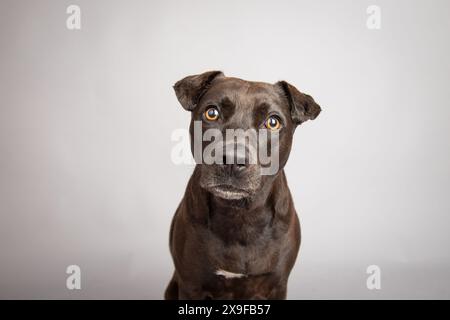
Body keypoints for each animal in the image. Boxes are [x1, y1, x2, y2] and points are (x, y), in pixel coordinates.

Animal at [164, 71, 320, 298]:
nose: (231, 159)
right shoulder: (190, 285)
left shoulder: (277, 286)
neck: (240, 214)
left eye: (273, 122)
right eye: (212, 113)